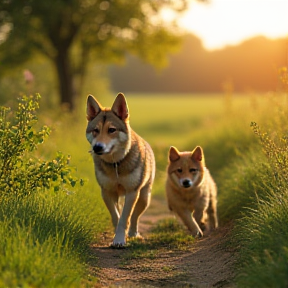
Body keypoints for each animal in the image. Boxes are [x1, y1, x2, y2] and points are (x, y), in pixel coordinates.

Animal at [85, 93, 155, 248]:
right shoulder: (107, 192)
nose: (97, 147)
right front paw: (117, 237)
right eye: (96, 130)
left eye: (112, 130)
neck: (115, 164)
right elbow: (116, 217)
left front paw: (120, 240)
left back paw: (133, 233)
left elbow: (125, 218)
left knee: (135, 216)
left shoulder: (131, 192)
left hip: (144, 198)